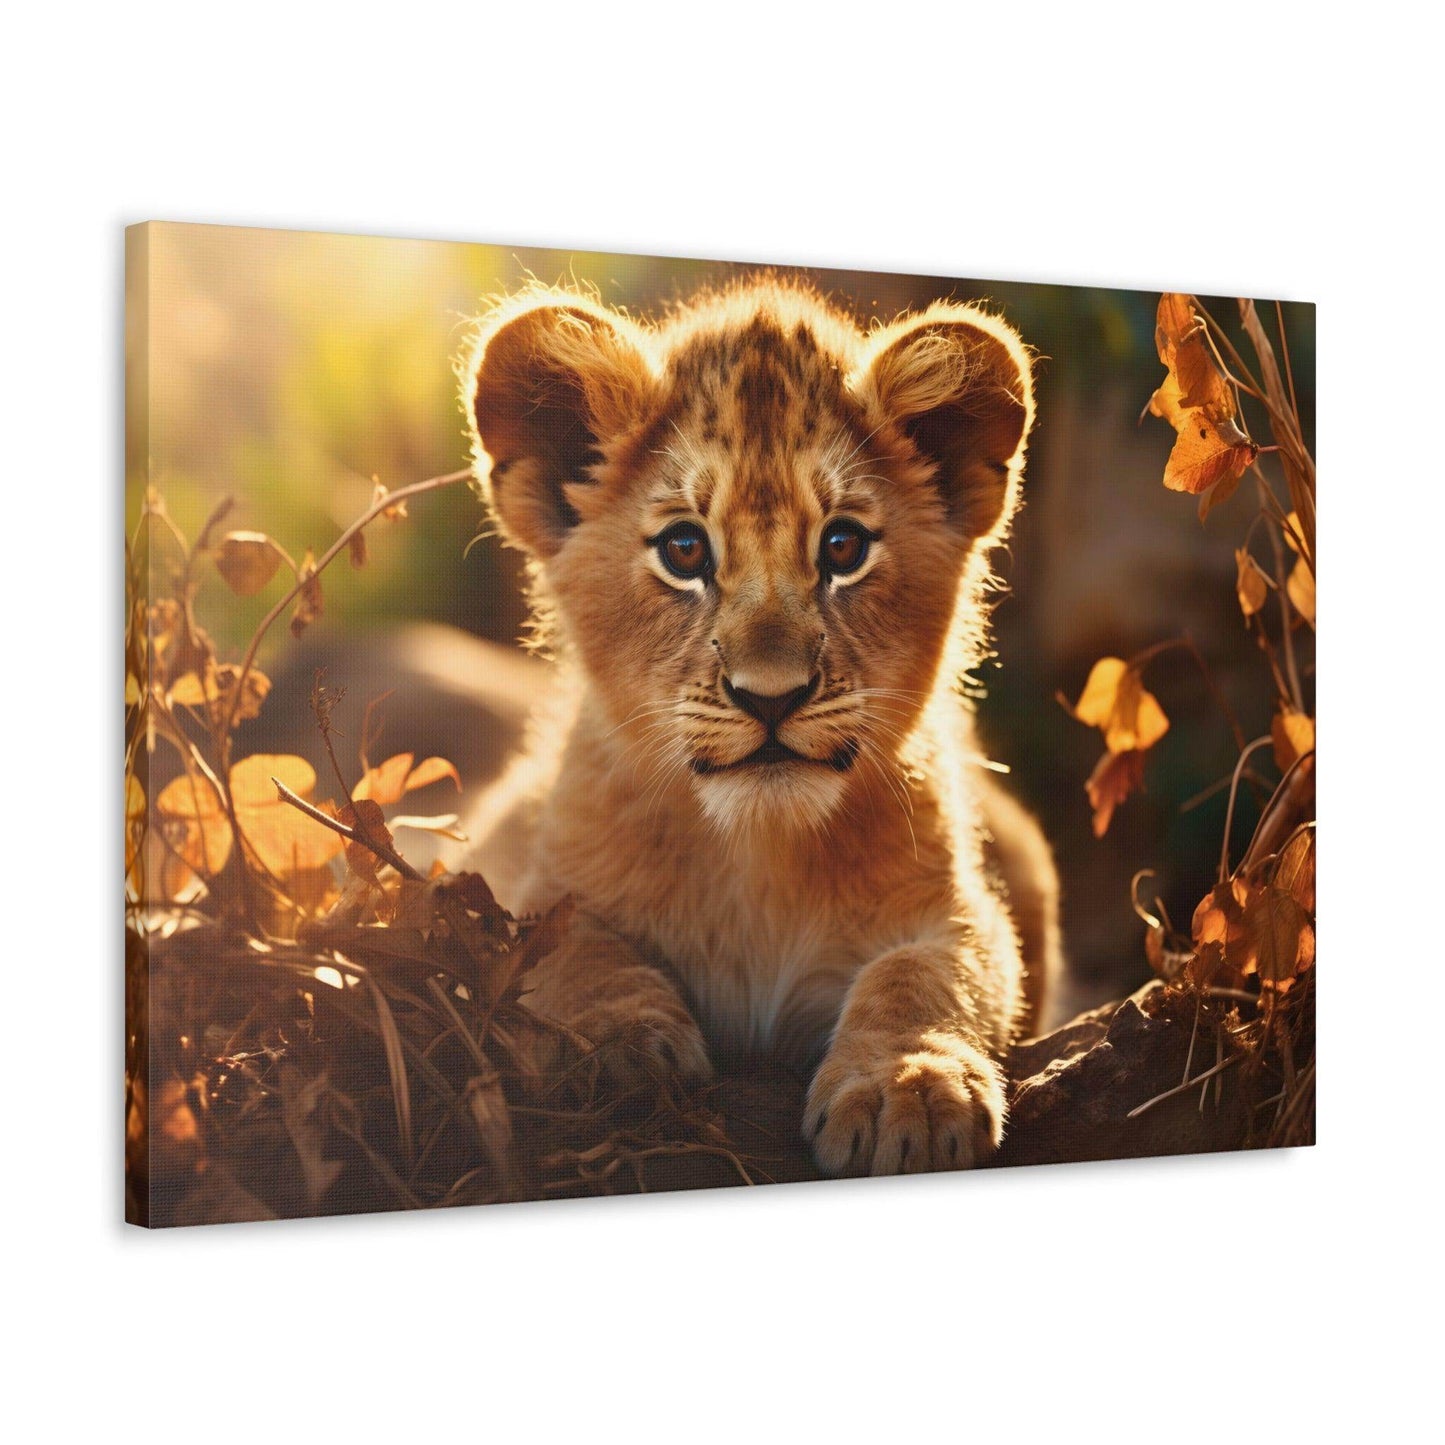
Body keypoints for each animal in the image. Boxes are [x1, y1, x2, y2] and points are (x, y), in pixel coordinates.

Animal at [461, 277, 1061, 1176]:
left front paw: (908, 1085)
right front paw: (612, 1044)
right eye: (683, 550)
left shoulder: (955, 905)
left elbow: (926, 972)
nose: (771, 696)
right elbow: (569, 948)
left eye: (842, 547)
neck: (757, 857)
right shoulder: (524, 873)